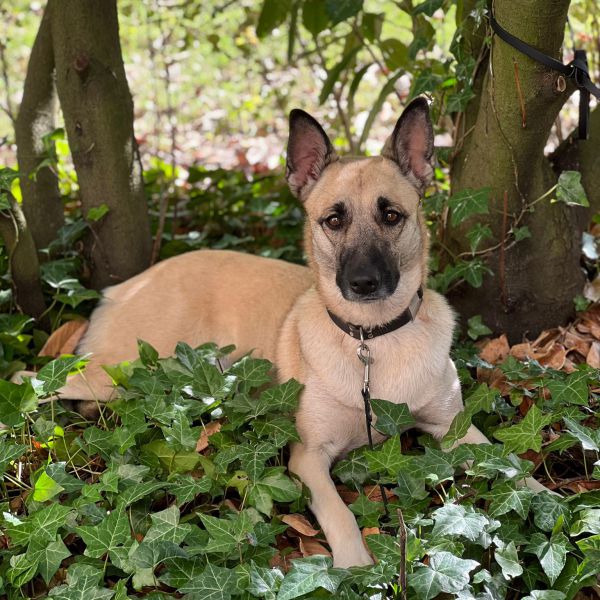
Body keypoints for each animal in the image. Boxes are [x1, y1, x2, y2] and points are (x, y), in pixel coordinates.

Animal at [23, 98, 548, 568]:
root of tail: (128, 284)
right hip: (119, 370)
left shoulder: (455, 429)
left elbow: (510, 464)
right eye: (333, 219)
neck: (371, 340)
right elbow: (340, 513)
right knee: (33, 381)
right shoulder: (308, 458)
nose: (363, 283)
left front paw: (546, 498)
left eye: (391, 215)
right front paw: (356, 564)